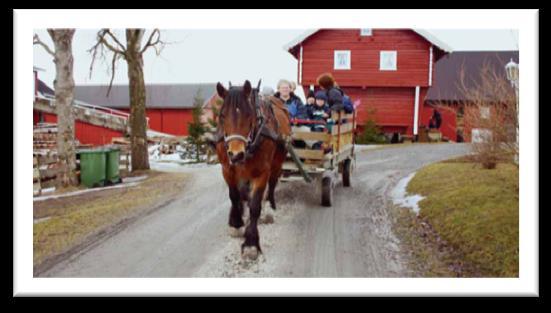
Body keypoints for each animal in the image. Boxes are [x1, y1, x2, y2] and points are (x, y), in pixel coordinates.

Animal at [213, 80, 292, 258]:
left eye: (249, 116)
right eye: (222, 116)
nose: (236, 154)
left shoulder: (261, 172)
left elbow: (255, 205)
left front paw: (251, 243)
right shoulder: (227, 169)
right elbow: (234, 196)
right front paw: (236, 223)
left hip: (277, 162)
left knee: (272, 183)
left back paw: (269, 208)